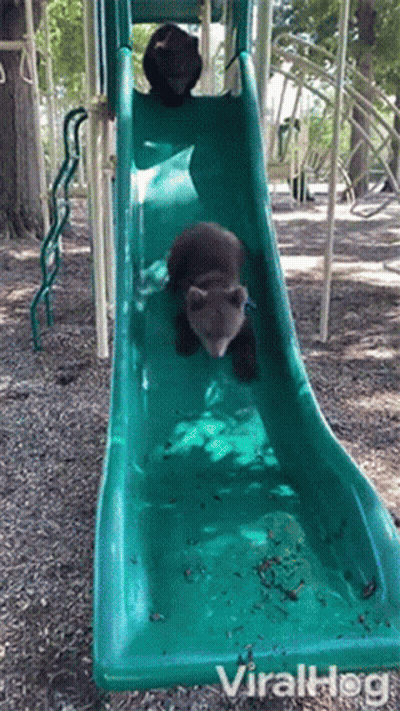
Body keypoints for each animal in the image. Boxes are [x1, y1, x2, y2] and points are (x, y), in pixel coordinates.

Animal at [167, 222, 258, 382]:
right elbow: (182, 321)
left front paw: (246, 369)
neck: (216, 285)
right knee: (173, 265)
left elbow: (247, 337)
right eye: (206, 332)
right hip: (182, 246)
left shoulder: (242, 316)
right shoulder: (188, 305)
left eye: (228, 333)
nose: (217, 354)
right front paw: (186, 345)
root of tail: (206, 223)